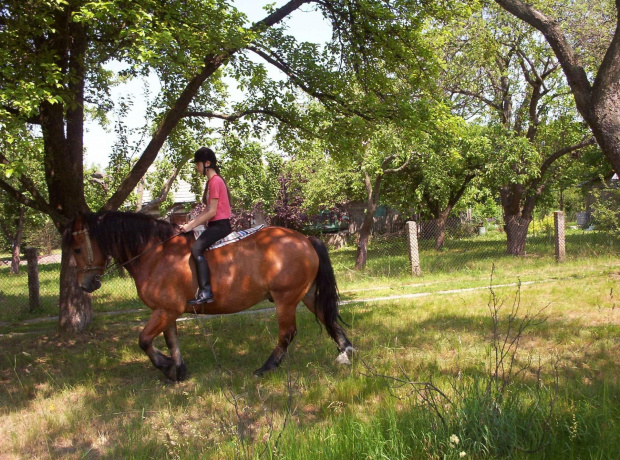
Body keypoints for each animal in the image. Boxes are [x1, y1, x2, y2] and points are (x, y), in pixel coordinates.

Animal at [62, 212, 354, 380]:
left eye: (77, 249)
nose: (85, 285)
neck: (156, 253)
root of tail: (305, 239)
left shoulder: (166, 310)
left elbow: (144, 340)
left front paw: (164, 365)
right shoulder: (167, 310)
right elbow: (171, 340)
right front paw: (177, 369)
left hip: (286, 298)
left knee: (287, 333)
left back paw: (266, 367)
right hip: (307, 294)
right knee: (328, 318)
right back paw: (346, 352)